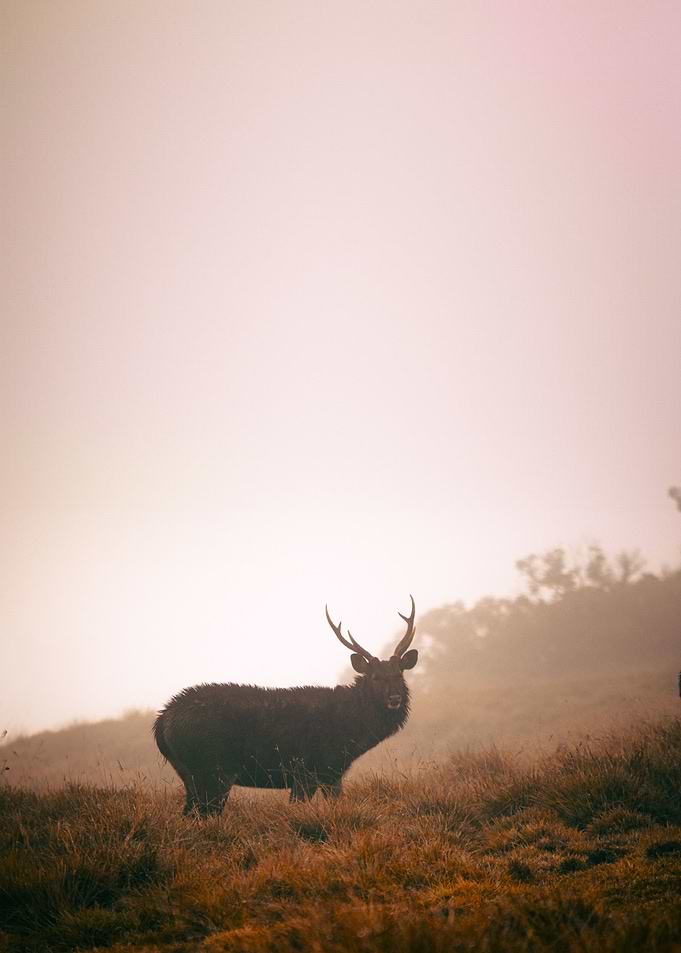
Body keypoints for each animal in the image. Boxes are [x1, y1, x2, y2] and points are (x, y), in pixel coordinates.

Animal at [153, 597, 418, 815]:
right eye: (375, 677)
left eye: (399, 674)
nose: (394, 698)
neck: (350, 735)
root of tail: (161, 721)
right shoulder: (306, 770)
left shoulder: (331, 773)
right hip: (212, 769)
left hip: (189, 772)